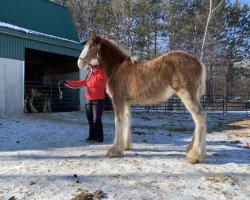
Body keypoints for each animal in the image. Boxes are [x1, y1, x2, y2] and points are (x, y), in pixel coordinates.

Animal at [78, 33, 207, 164]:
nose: (79, 63)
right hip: (194, 96)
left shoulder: (118, 99)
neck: (117, 68)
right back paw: (191, 149)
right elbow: (126, 120)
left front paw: (114, 151)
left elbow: (118, 121)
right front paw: (125, 146)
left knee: (199, 116)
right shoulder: (126, 102)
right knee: (198, 118)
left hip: (186, 94)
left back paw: (194, 155)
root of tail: (198, 62)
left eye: (91, 48)